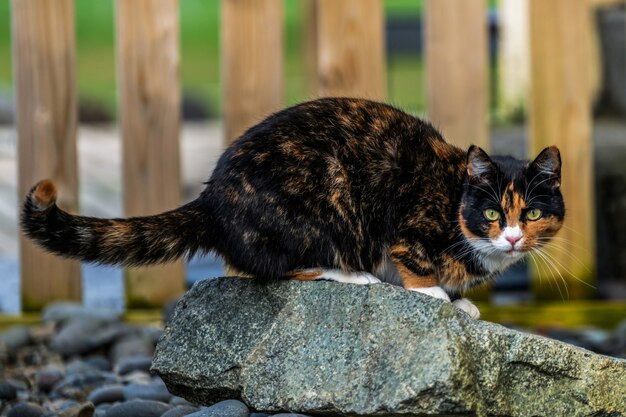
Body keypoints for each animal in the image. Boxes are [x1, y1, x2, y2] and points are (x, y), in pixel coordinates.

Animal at [22, 97, 564, 318]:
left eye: (532, 214)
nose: (512, 236)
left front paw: (460, 301)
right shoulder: (406, 223)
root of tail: (212, 199)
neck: (454, 200)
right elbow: (411, 258)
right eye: (492, 213)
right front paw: (435, 294)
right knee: (271, 269)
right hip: (322, 204)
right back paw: (352, 275)